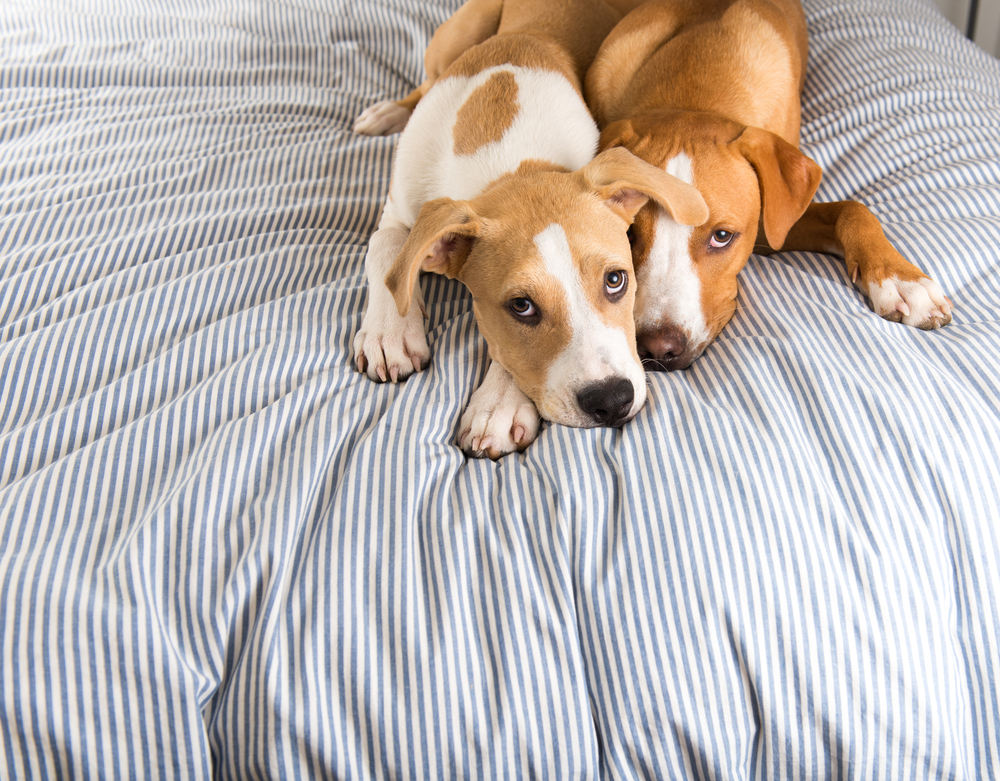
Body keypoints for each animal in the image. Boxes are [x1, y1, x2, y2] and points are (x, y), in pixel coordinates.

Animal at [356, 0, 708, 458]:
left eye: (616, 280)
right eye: (521, 306)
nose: (613, 400)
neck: (506, 153)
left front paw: (498, 405)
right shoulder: (399, 209)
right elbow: (385, 252)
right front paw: (389, 333)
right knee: (423, 81)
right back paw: (387, 113)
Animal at [584, 0, 952, 368]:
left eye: (722, 236)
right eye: (629, 233)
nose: (659, 350)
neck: (693, 85)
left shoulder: (775, 221)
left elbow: (852, 208)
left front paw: (901, 279)